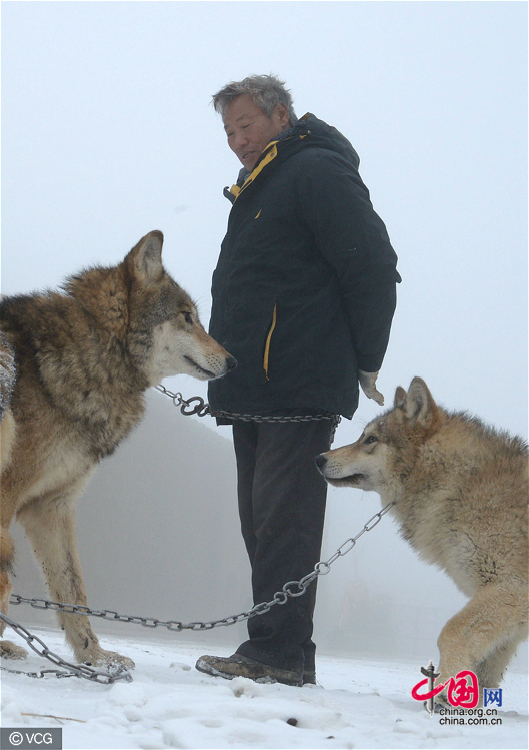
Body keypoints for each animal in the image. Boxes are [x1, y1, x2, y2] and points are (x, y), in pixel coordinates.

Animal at [0, 231, 235, 668]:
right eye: (186, 317)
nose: (234, 362)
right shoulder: (8, 494)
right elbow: (7, 583)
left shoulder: (51, 507)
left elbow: (74, 592)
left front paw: (96, 658)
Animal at [316, 378, 524, 708]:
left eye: (370, 440)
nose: (318, 458)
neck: (457, 481)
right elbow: (487, 668)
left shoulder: (510, 587)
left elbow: (450, 633)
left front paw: (447, 692)